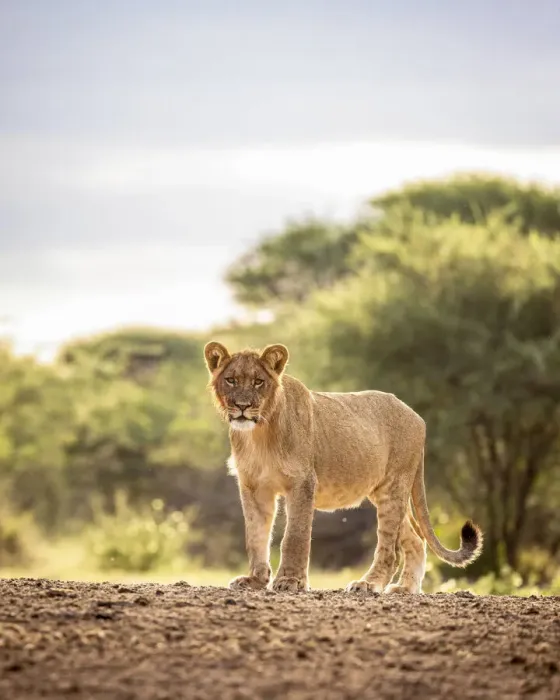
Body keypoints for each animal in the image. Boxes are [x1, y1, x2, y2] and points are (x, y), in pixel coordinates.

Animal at [204, 341, 482, 594]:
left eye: (259, 382)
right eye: (231, 380)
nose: (242, 406)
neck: (259, 433)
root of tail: (415, 415)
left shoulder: (303, 482)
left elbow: (295, 535)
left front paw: (290, 581)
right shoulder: (253, 486)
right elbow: (256, 535)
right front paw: (254, 580)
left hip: (393, 487)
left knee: (390, 549)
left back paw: (368, 584)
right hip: (387, 492)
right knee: (415, 539)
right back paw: (405, 589)